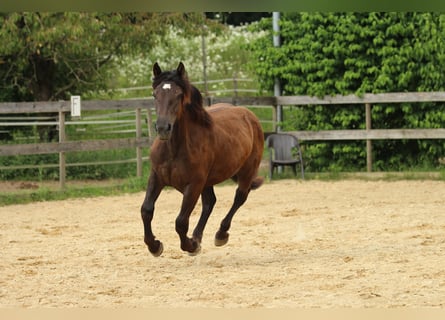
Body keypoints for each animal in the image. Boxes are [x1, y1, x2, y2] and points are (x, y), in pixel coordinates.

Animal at [140, 63, 264, 258]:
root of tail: (249, 115)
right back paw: (197, 237)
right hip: (208, 181)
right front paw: (155, 246)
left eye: (178, 95)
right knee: (209, 203)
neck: (175, 149)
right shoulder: (156, 177)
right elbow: (146, 210)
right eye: (155, 94)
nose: (163, 128)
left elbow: (181, 221)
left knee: (239, 198)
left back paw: (220, 234)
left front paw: (190, 246)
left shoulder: (194, 185)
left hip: (246, 171)